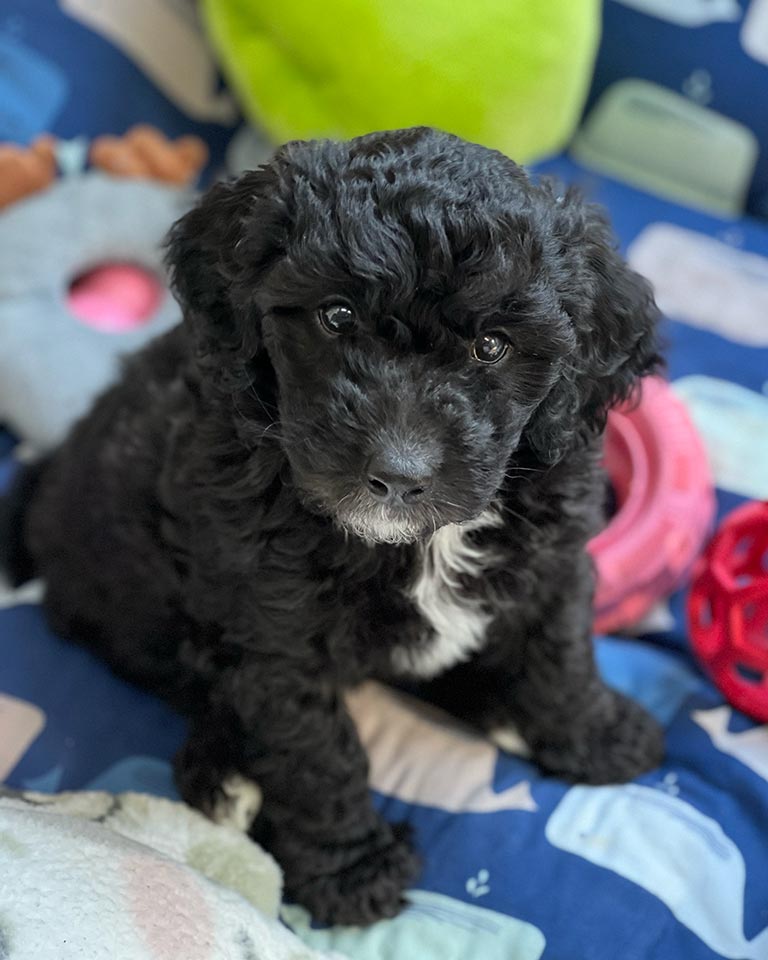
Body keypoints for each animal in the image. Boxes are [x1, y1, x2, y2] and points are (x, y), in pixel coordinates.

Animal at [3, 125, 664, 924]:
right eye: (337, 316)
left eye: (493, 346)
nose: (399, 474)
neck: (415, 543)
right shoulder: (274, 634)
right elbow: (316, 750)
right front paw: (352, 869)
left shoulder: (553, 558)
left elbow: (560, 658)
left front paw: (597, 738)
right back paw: (221, 774)